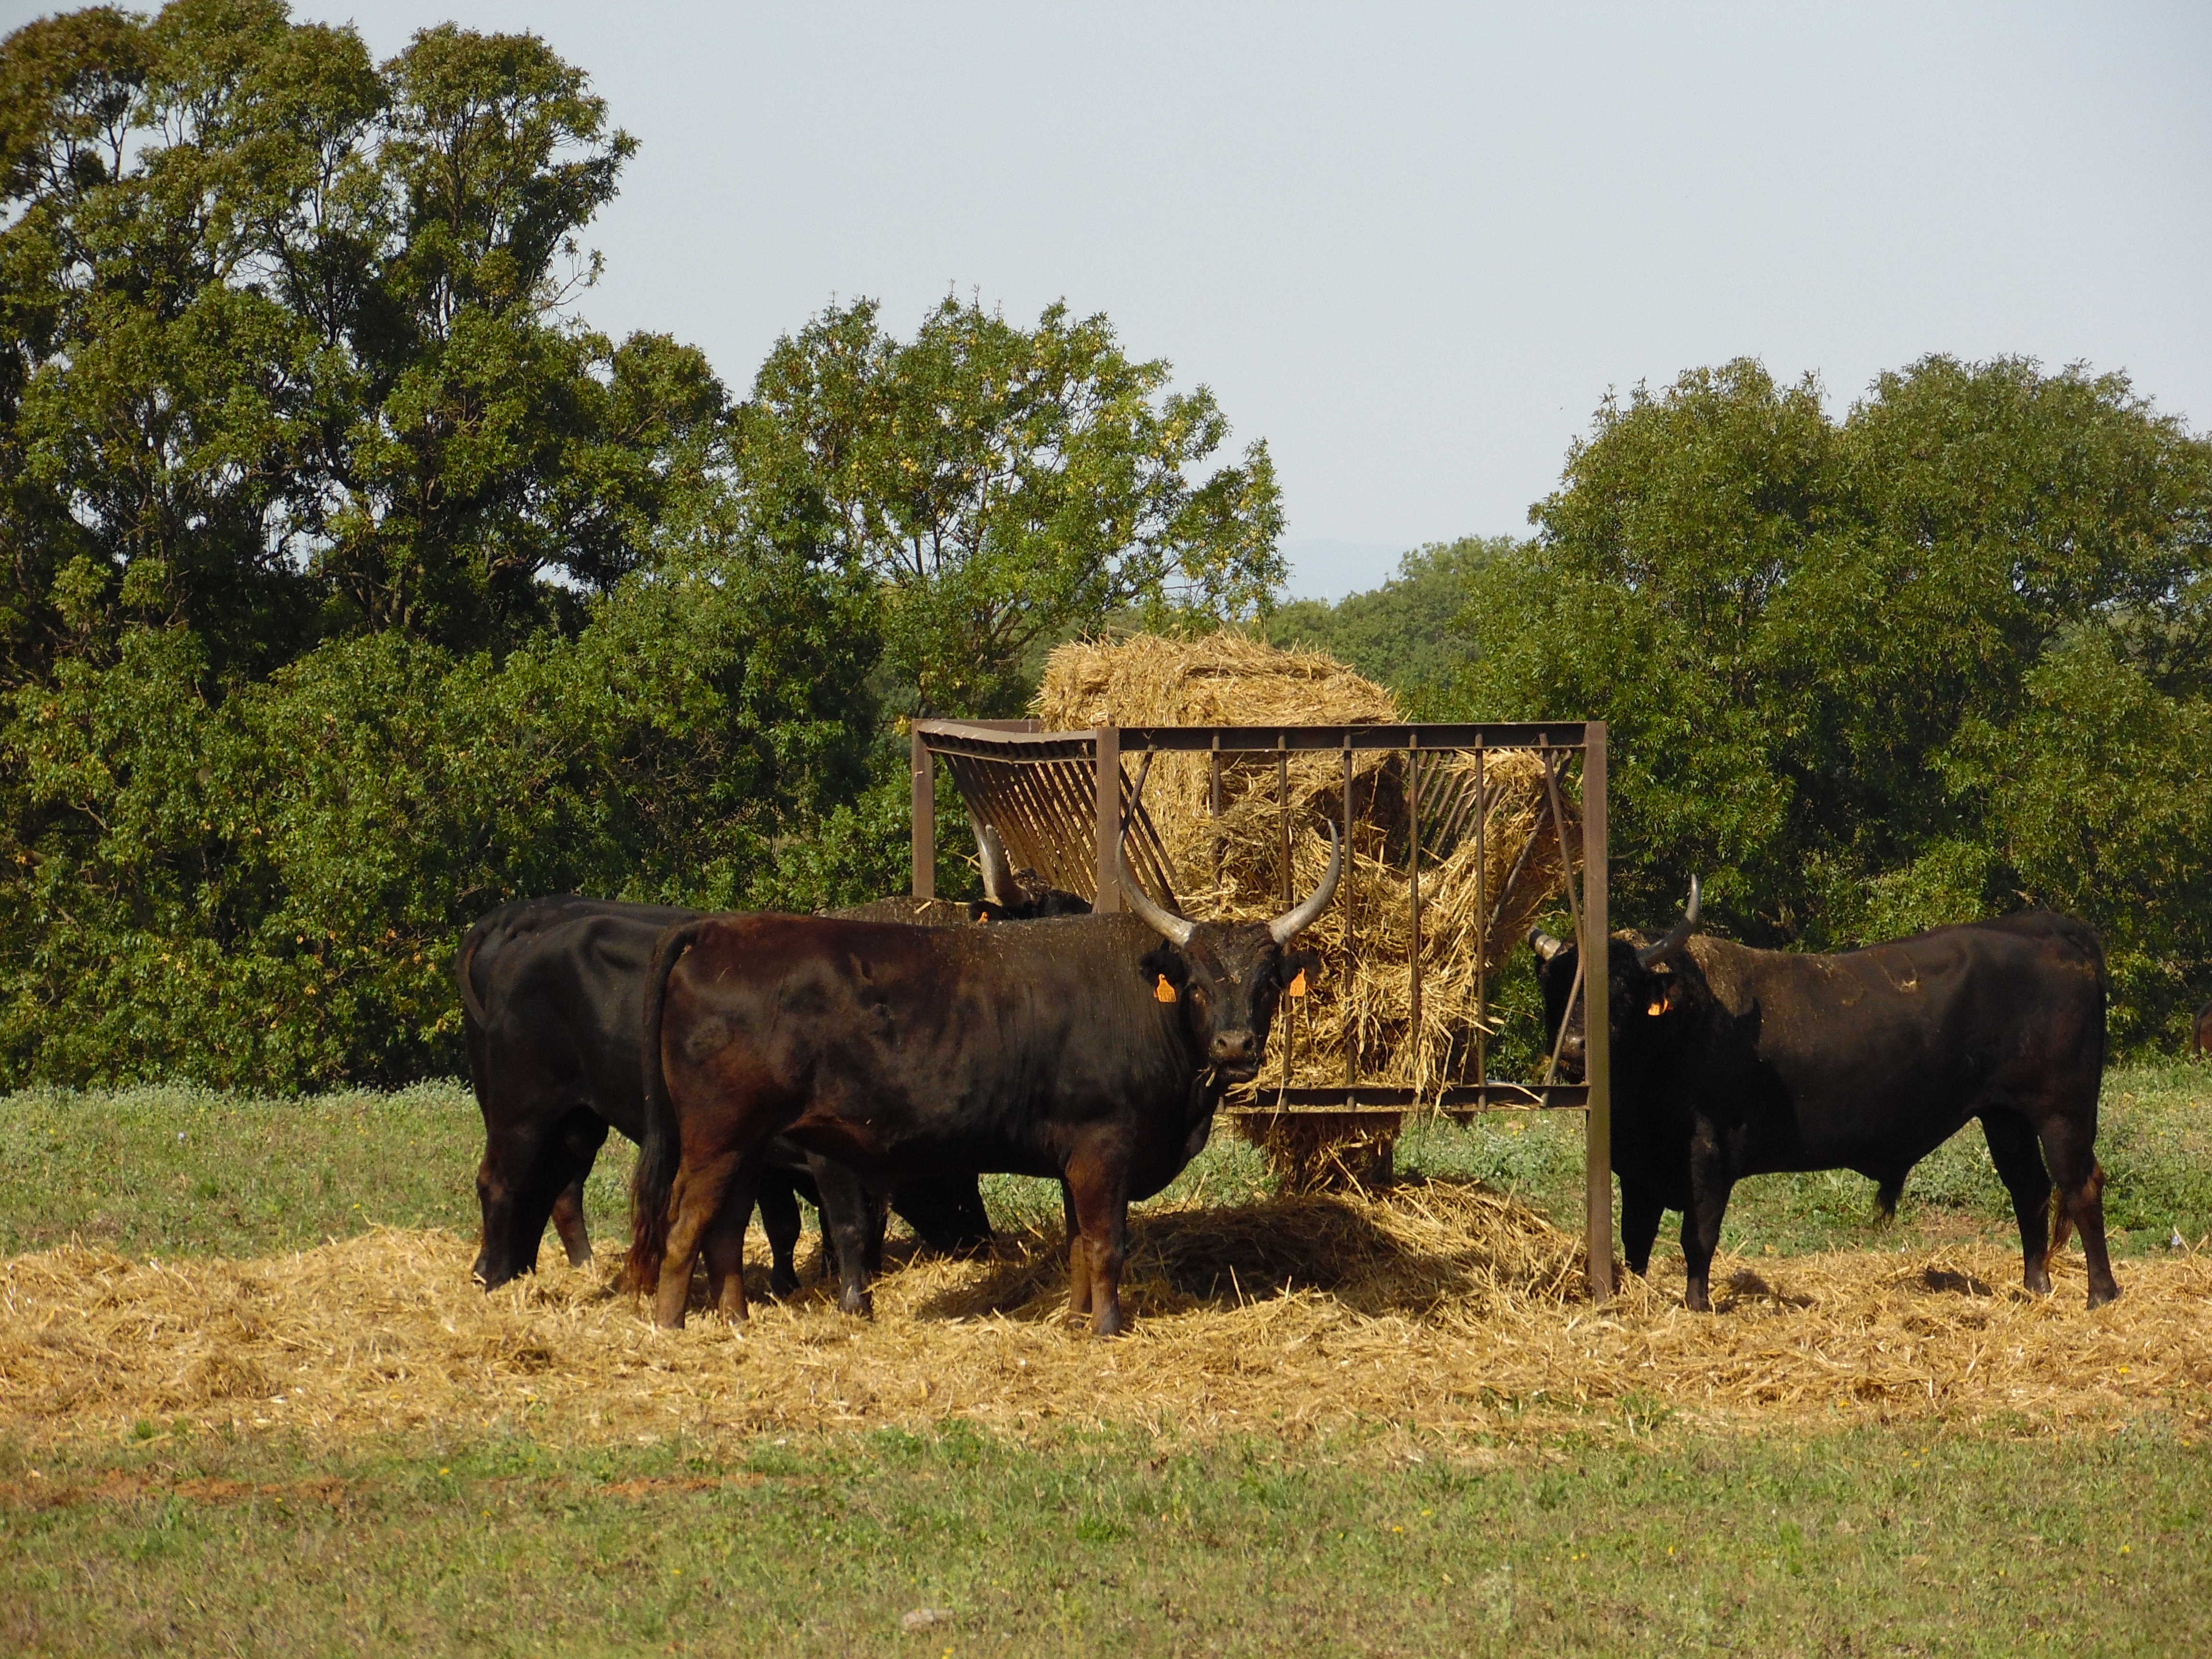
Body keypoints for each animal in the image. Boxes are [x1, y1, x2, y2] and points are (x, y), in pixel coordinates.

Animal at [457, 898, 995, 1300]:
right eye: (947, 1171)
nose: (981, 1240)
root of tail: (521, 931)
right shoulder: (801, 1158)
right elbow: (809, 1222)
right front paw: (799, 1285)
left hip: (576, 1123)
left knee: (547, 1187)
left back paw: (523, 1272)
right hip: (521, 1111)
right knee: (503, 1183)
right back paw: (495, 1278)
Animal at [1530, 898, 2115, 1309]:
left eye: (1623, 990)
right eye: (1556, 988)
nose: (1575, 1048)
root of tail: (2050, 927)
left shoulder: (1710, 1153)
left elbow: (1698, 1235)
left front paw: (1698, 1305)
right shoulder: (1639, 1170)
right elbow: (1635, 1242)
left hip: (2062, 1112)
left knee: (2080, 1186)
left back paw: (2101, 1294)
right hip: (2005, 1117)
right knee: (2030, 1190)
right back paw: (2035, 1287)